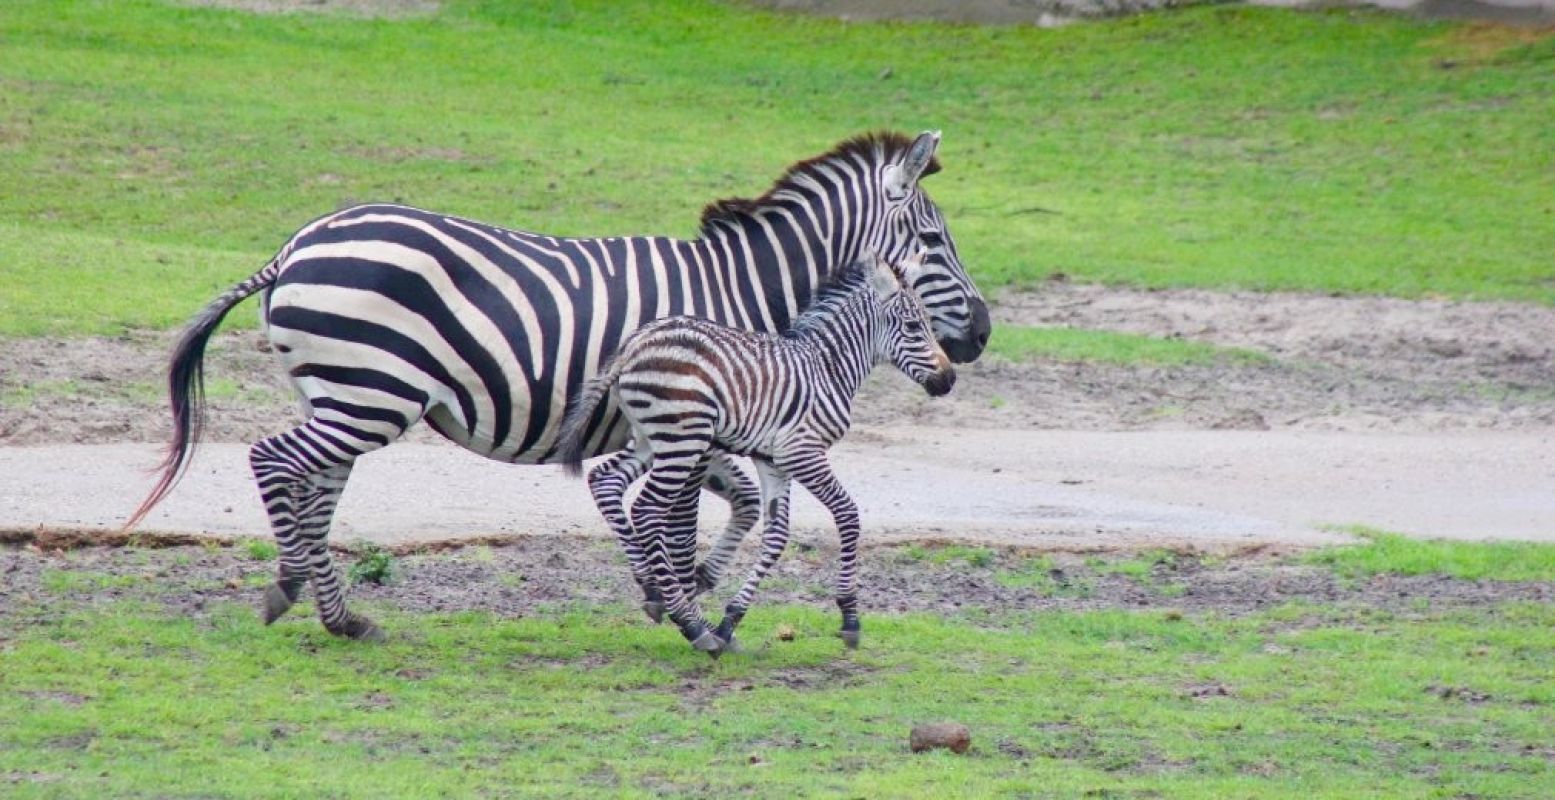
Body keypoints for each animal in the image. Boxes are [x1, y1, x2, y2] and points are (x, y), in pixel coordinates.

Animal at [559, 252, 945, 650]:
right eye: (913, 326)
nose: (948, 381)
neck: (829, 367)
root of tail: (634, 344)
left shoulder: (773, 460)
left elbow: (776, 536)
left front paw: (730, 620)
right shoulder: (802, 452)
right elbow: (848, 515)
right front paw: (850, 616)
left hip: (653, 439)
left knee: (606, 480)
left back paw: (652, 588)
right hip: (684, 439)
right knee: (648, 510)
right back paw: (691, 624)